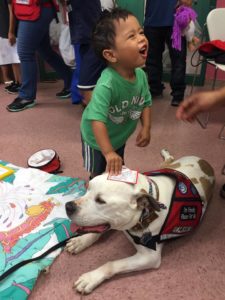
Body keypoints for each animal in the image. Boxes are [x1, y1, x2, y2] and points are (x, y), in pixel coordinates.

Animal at [64, 149, 214, 294]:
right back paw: (165, 154)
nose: (68, 206)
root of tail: (205, 162)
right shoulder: (116, 223)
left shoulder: (149, 257)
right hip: (168, 166)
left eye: (101, 201)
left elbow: (112, 264)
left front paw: (91, 278)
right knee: (169, 160)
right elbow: (97, 231)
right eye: (88, 188)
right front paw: (80, 241)